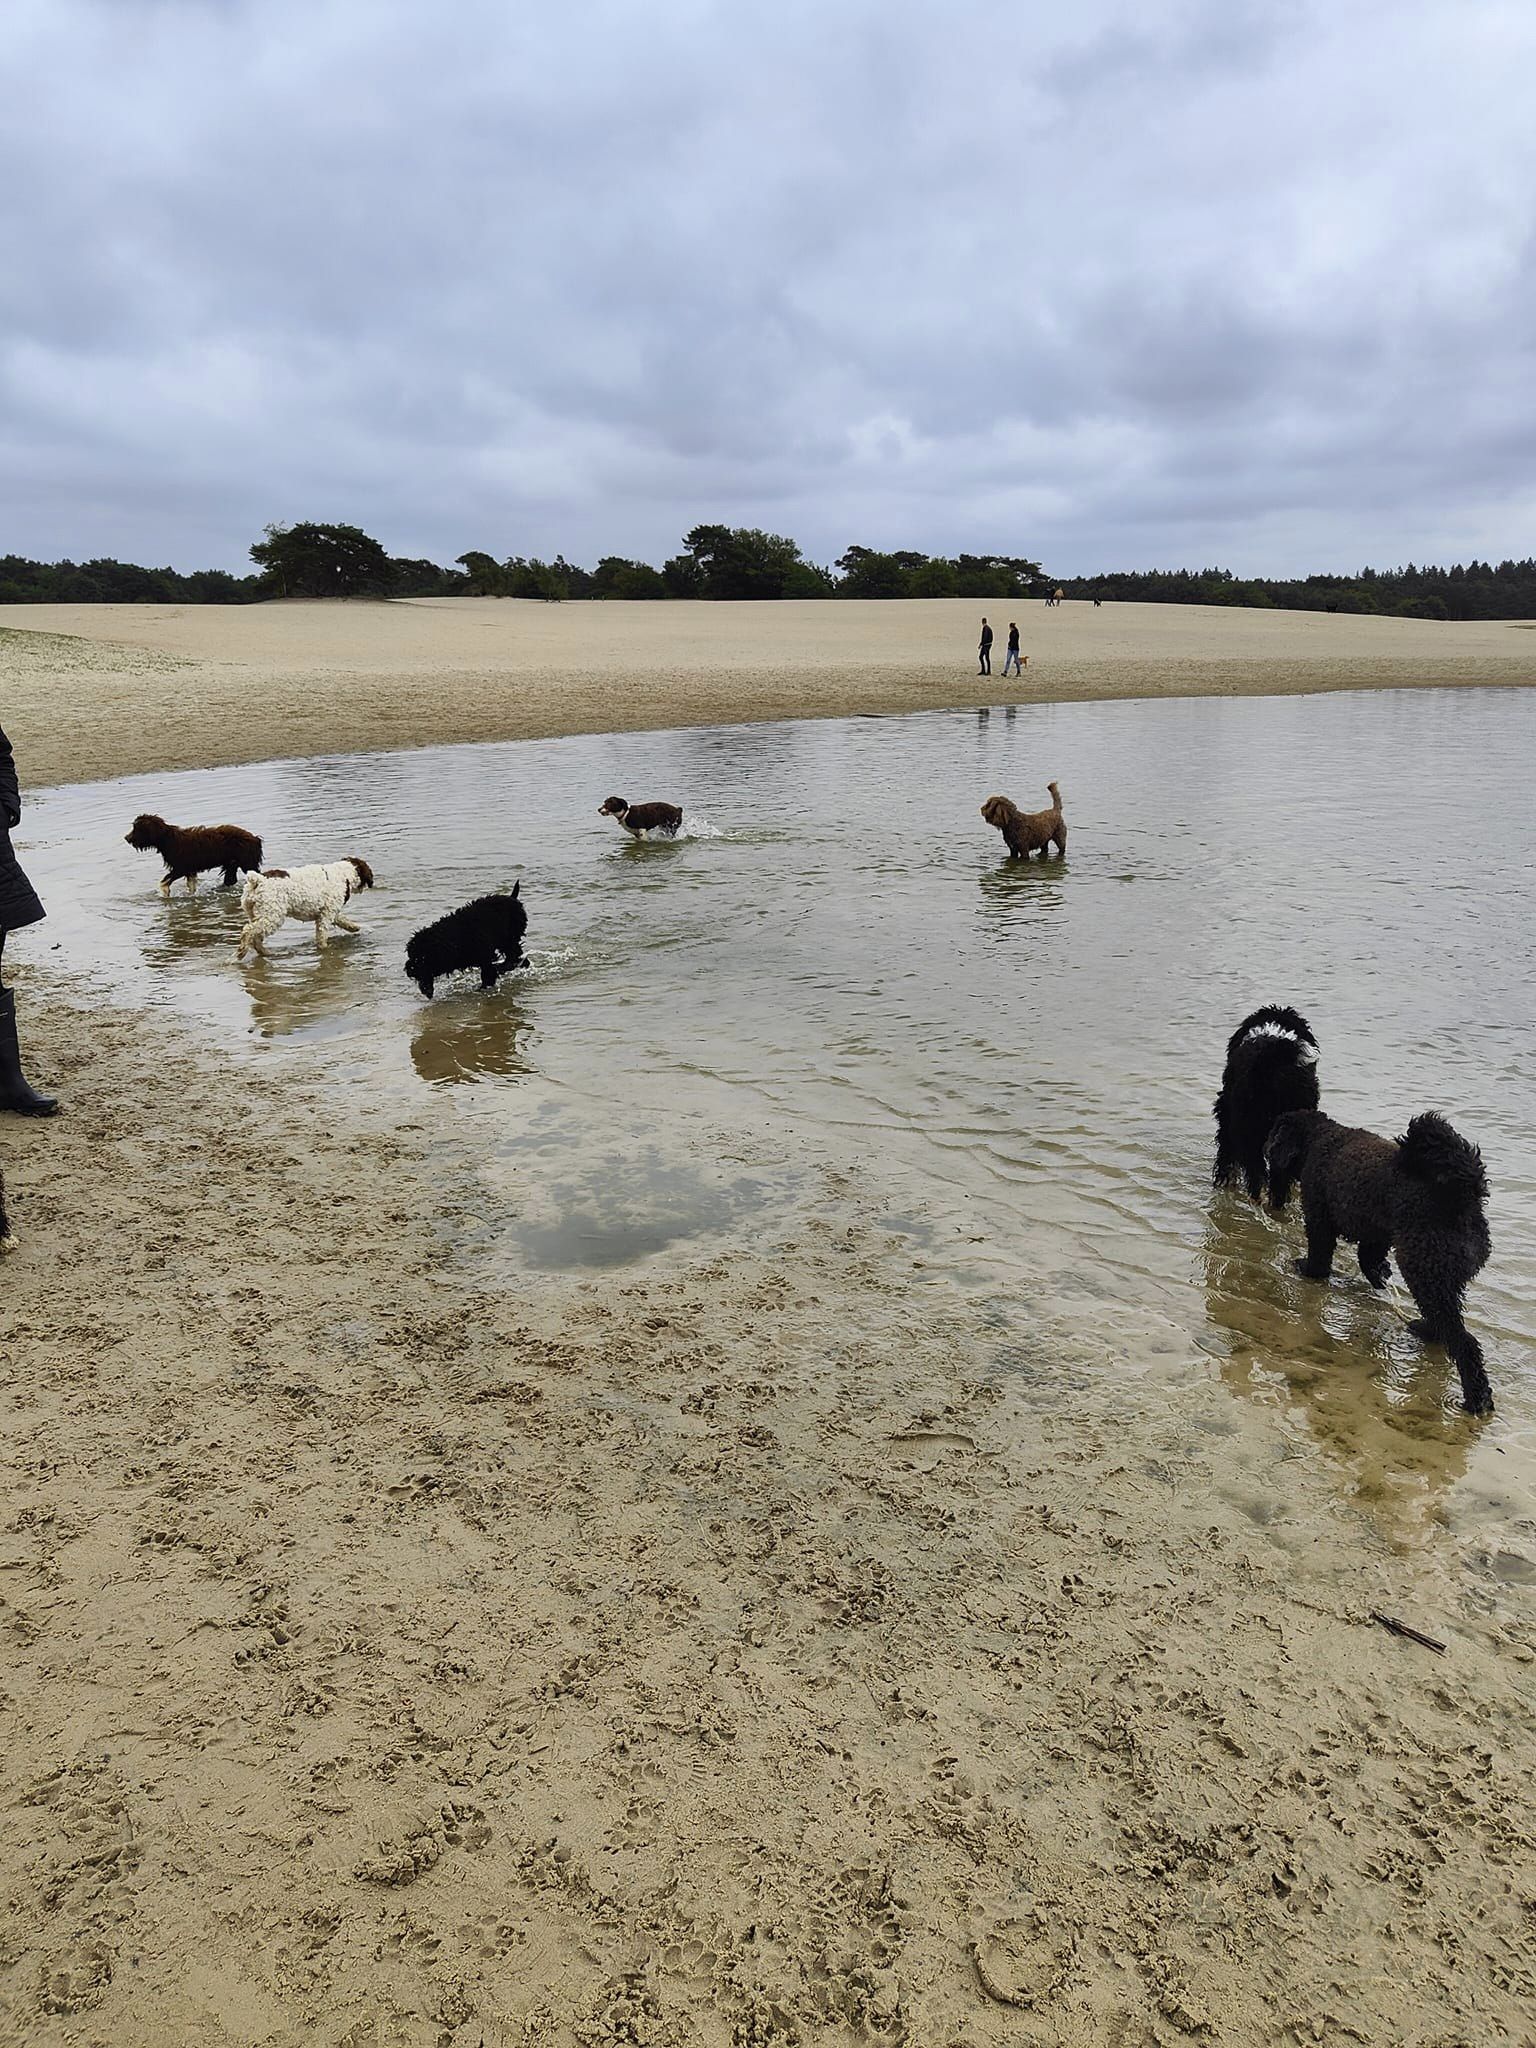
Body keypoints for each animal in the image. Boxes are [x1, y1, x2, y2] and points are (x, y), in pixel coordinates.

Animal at [126, 811, 264, 892]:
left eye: (137, 828)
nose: (126, 838)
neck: (168, 840)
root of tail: (255, 838)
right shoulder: (189, 870)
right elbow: (191, 887)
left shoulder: (181, 868)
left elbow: (164, 883)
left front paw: (165, 894)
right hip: (232, 864)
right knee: (230, 880)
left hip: (247, 862)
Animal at [236, 860, 376, 962]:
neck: (343, 875)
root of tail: (258, 880)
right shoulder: (326, 914)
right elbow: (322, 936)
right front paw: (325, 949)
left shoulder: (331, 911)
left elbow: (343, 920)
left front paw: (354, 927)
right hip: (273, 915)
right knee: (248, 931)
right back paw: (242, 951)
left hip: (255, 913)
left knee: (256, 935)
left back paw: (265, 952)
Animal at [1269, 1114, 1499, 1417]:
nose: (1267, 1151)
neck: (1318, 1137)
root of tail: (1463, 1196)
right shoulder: (1374, 1230)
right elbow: (1368, 1258)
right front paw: (1380, 1275)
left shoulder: (1319, 1215)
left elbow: (1320, 1255)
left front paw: (1308, 1269)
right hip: (1443, 1277)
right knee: (1445, 1323)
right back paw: (1427, 1330)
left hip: (1426, 1272)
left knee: (1464, 1342)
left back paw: (1476, 1398)